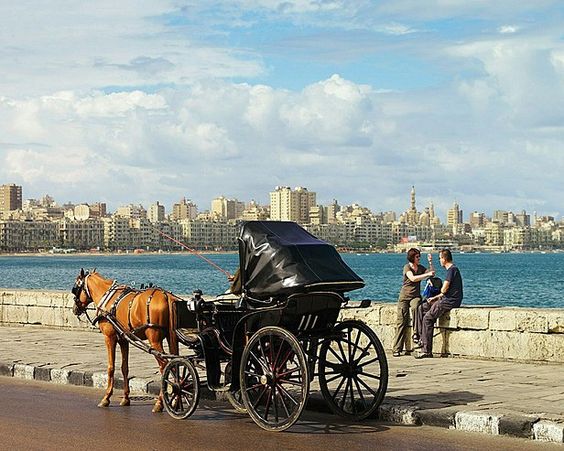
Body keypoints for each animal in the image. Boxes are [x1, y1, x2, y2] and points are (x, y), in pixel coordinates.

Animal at [71, 268, 178, 414]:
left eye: (75, 288)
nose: (74, 309)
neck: (107, 299)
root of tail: (167, 297)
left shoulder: (109, 337)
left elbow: (111, 367)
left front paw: (106, 398)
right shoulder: (123, 340)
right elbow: (124, 368)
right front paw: (126, 398)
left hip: (154, 340)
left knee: (165, 366)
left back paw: (160, 403)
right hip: (172, 336)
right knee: (176, 364)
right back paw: (177, 399)